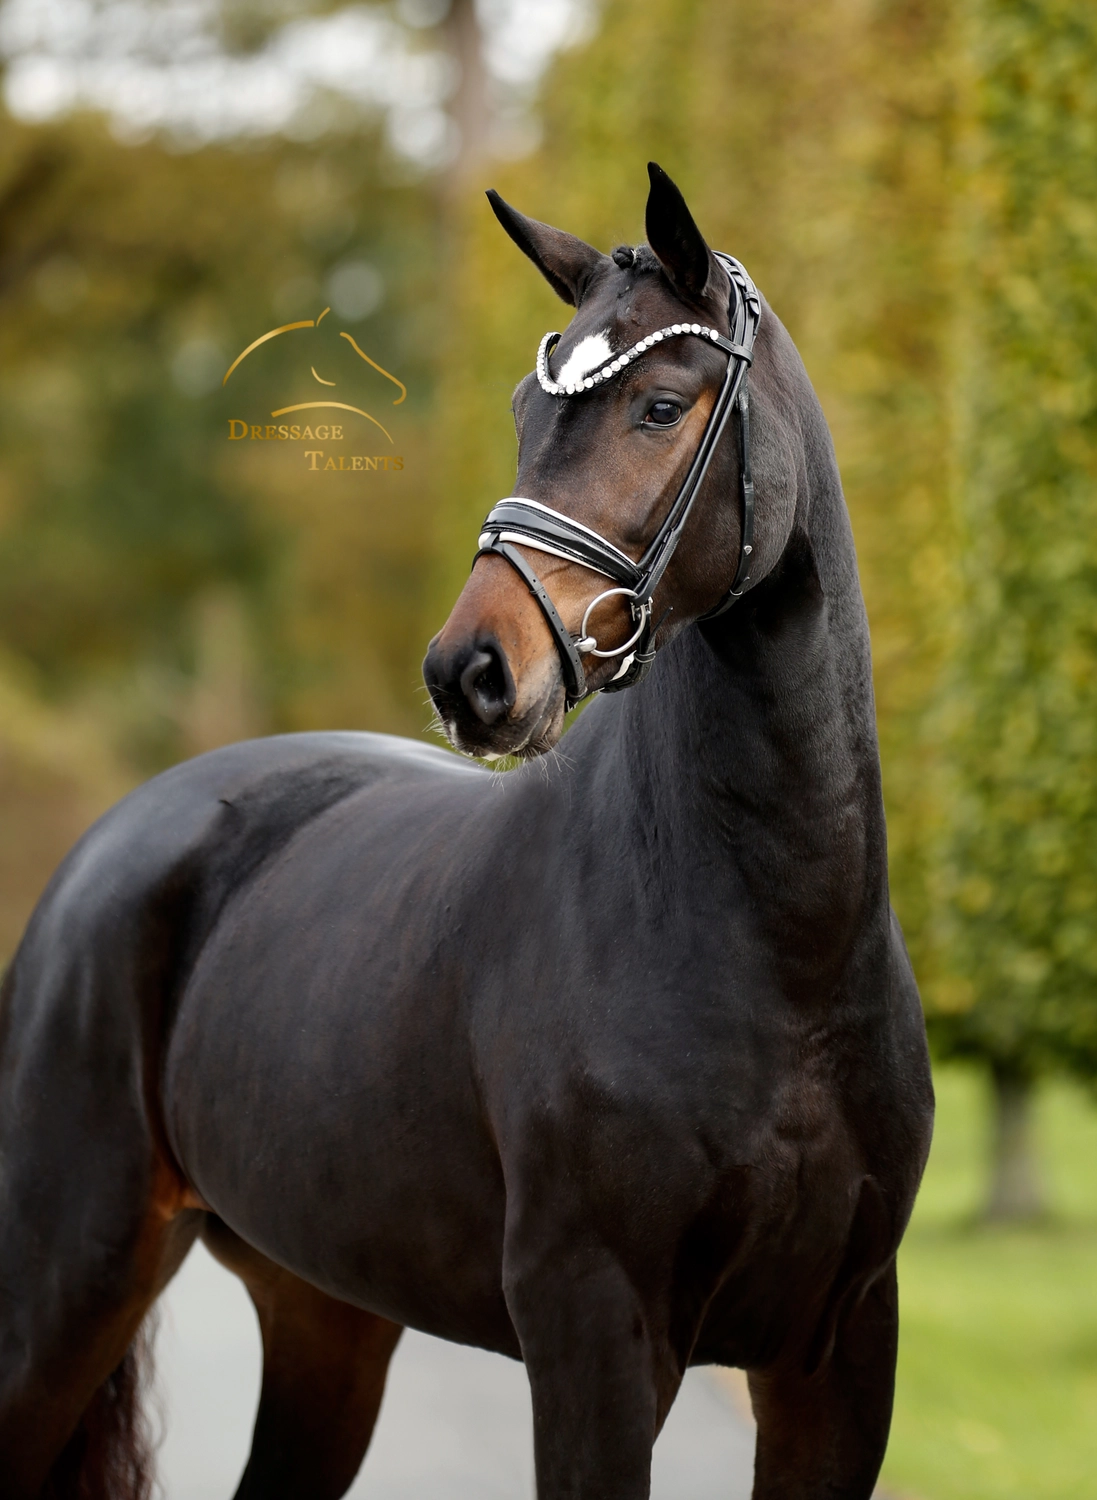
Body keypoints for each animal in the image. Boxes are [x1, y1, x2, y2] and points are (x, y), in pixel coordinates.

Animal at [0, 163, 933, 1500]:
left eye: (658, 405)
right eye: (522, 411)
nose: (470, 674)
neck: (778, 954)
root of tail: (120, 837)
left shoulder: (839, 1356)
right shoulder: (594, 1339)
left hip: (325, 1315)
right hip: (66, 1277)